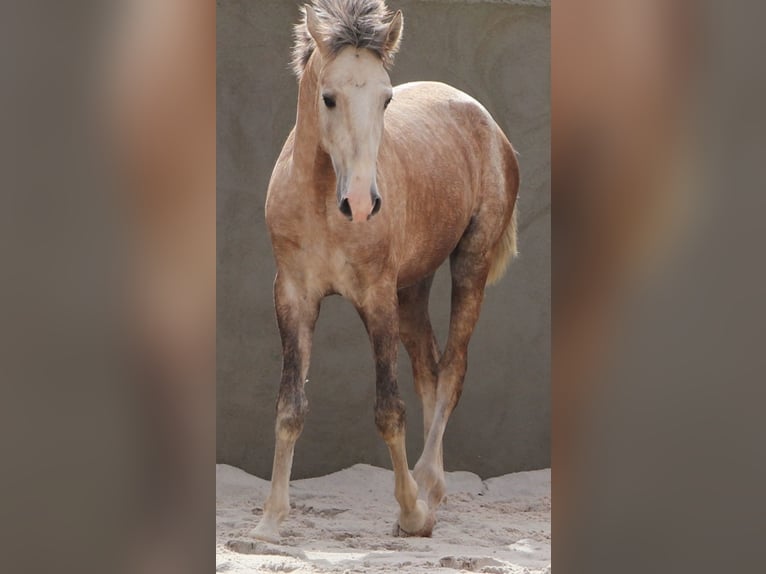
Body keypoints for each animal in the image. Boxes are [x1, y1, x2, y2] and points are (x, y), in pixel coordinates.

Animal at [252, 0, 520, 544]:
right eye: (328, 98)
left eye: (386, 99)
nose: (361, 202)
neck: (322, 201)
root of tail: (485, 120)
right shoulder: (292, 296)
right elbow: (290, 406)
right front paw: (270, 521)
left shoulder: (376, 297)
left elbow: (388, 411)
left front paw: (412, 513)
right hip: (413, 287)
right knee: (429, 370)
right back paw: (428, 488)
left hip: (470, 264)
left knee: (453, 370)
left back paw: (427, 488)